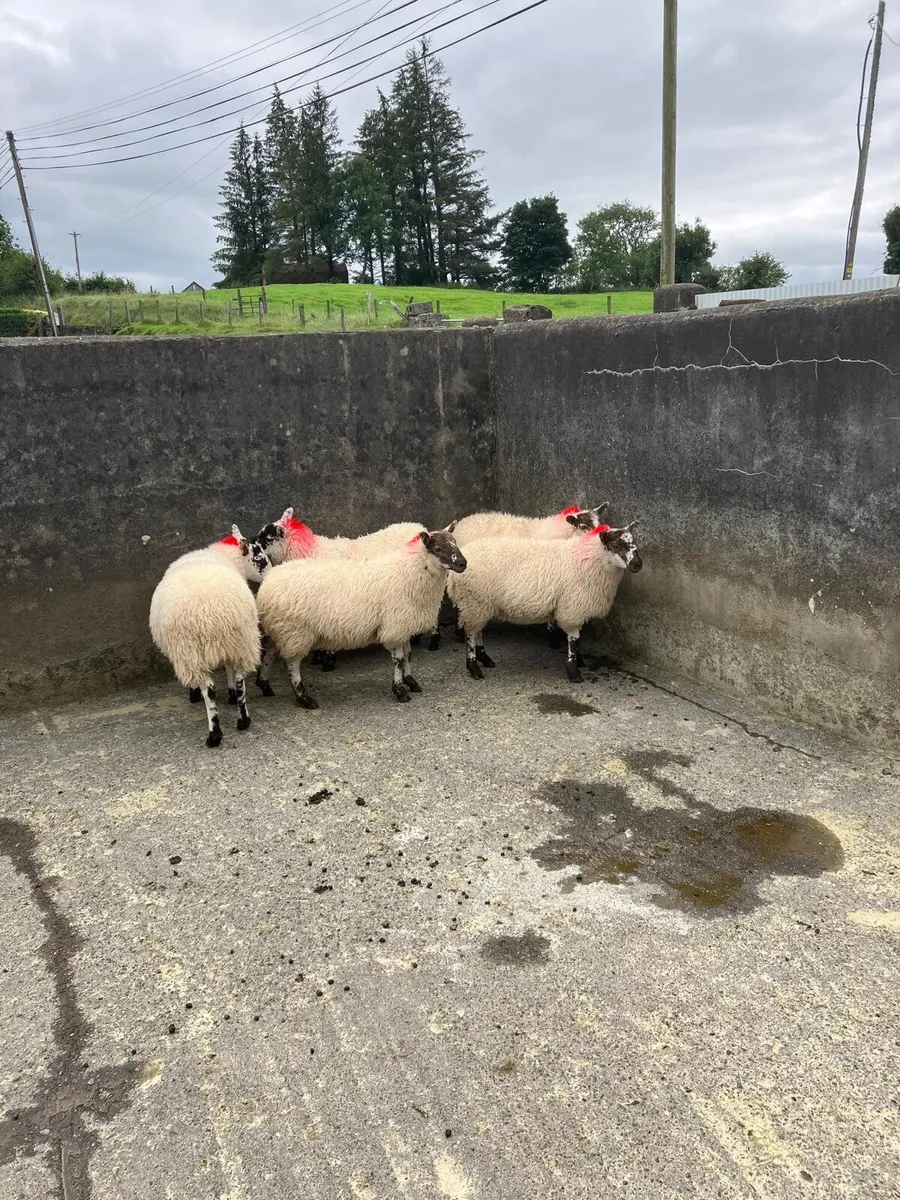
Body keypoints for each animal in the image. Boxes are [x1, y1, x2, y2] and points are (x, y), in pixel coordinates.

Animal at [149, 525, 274, 747]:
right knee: (240, 679)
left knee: (209, 689)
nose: (270, 575)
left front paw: (193, 694)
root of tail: (214, 610)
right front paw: (231, 695)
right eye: (260, 558)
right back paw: (243, 720)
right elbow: (229, 670)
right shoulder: (229, 646)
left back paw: (214, 734)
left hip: (192, 652)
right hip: (242, 641)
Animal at [255, 524, 466, 708]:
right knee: (292, 665)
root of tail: (267, 583)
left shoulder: (403, 624)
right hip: (295, 631)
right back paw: (304, 698)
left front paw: (410, 681)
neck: (409, 571)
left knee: (269, 654)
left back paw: (264, 684)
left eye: (455, 542)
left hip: (280, 628)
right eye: (438, 548)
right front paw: (400, 690)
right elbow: (399, 660)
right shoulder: (395, 626)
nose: (463, 563)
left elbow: (408, 655)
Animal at [428, 502, 609, 651]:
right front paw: (554, 640)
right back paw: (455, 633)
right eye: (583, 525)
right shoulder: (551, 580)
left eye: (598, 523)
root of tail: (464, 522)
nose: (597, 538)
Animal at [447, 521, 641, 683]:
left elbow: (578, 638)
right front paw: (574, 672)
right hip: (475, 601)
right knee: (471, 634)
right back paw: (474, 668)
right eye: (616, 545)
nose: (638, 564)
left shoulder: (578, 607)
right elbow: (574, 639)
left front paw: (579, 661)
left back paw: (485, 658)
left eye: (635, 544)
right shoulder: (572, 607)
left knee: (477, 631)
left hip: (480, 604)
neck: (591, 559)